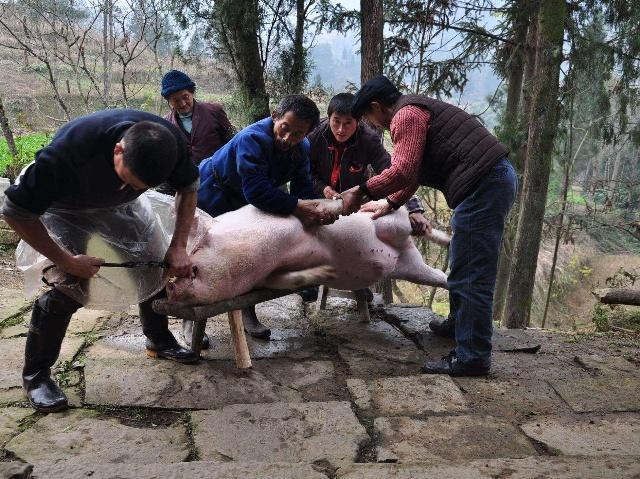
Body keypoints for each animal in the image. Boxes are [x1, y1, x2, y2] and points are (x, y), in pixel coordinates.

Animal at [165, 200, 448, 308]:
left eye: (196, 250)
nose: (169, 286)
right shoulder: (268, 276)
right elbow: (287, 279)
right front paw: (326, 272)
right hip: (410, 267)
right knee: (439, 276)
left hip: (391, 223)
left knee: (400, 219)